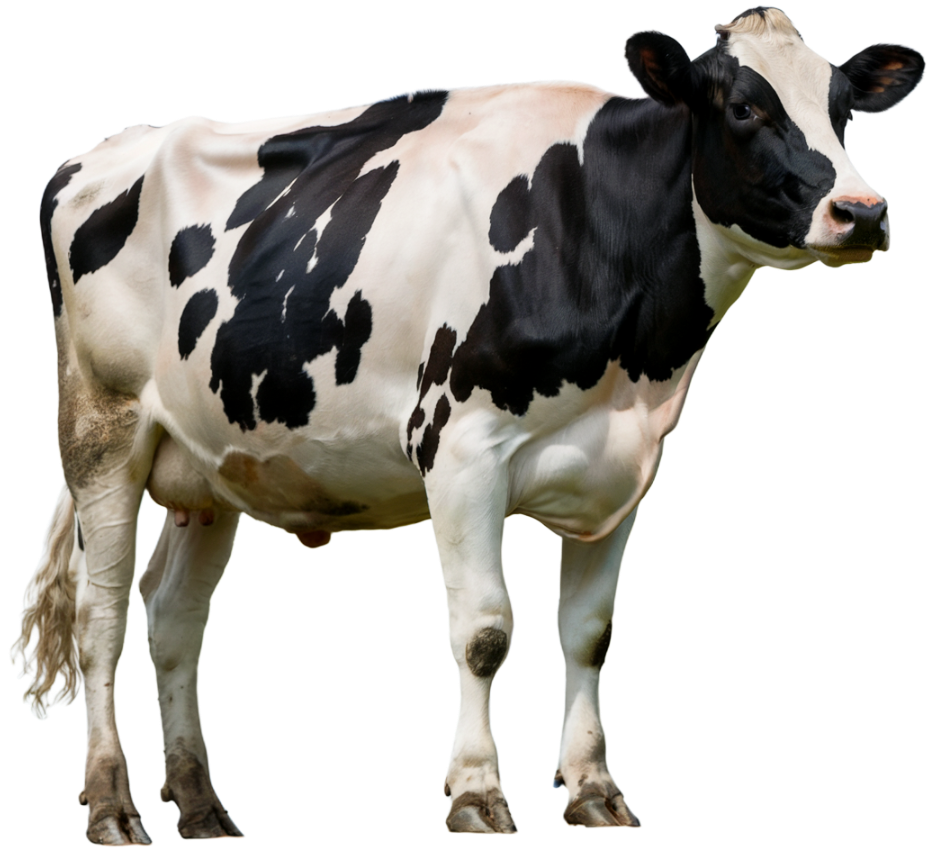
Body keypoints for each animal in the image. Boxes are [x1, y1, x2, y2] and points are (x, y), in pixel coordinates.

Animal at [9, 5, 924, 843]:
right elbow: (484, 631)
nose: (861, 210)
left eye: (843, 108)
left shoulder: (623, 474)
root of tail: (100, 152)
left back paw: (200, 806)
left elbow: (587, 634)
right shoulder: (460, 452)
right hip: (103, 434)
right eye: (742, 108)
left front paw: (594, 789)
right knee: (100, 620)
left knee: (172, 615)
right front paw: (478, 794)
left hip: (213, 465)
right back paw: (114, 805)